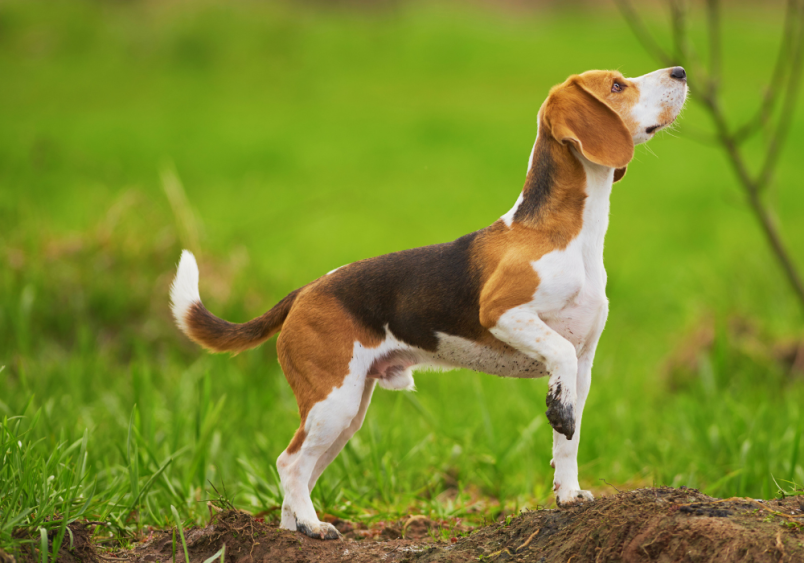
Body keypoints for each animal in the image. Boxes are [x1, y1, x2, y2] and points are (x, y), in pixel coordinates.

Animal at [168, 67, 684, 540]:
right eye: (616, 85)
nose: (679, 71)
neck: (569, 235)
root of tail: (306, 290)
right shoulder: (504, 314)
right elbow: (555, 359)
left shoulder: (583, 363)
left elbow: (567, 440)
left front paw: (570, 494)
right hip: (332, 403)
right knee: (288, 462)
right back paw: (314, 526)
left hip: (345, 415)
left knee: (301, 472)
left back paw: (295, 527)